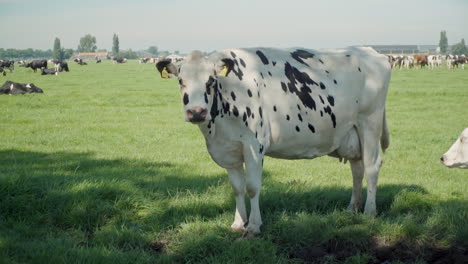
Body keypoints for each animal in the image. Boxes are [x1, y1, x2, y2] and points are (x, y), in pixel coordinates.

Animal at [156, 48, 392, 237]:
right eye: (180, 81)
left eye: (210, 81)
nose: (196, 112)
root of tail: (370, 51)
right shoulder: (228, 149)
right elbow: (237, 188)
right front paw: (238, 223)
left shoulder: (254, 145)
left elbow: (252, 187)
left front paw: (253, 226)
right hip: (352, 132)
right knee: (357, 169)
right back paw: (353, 207)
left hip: (369, 122)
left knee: (372, 167)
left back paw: (369, 211)